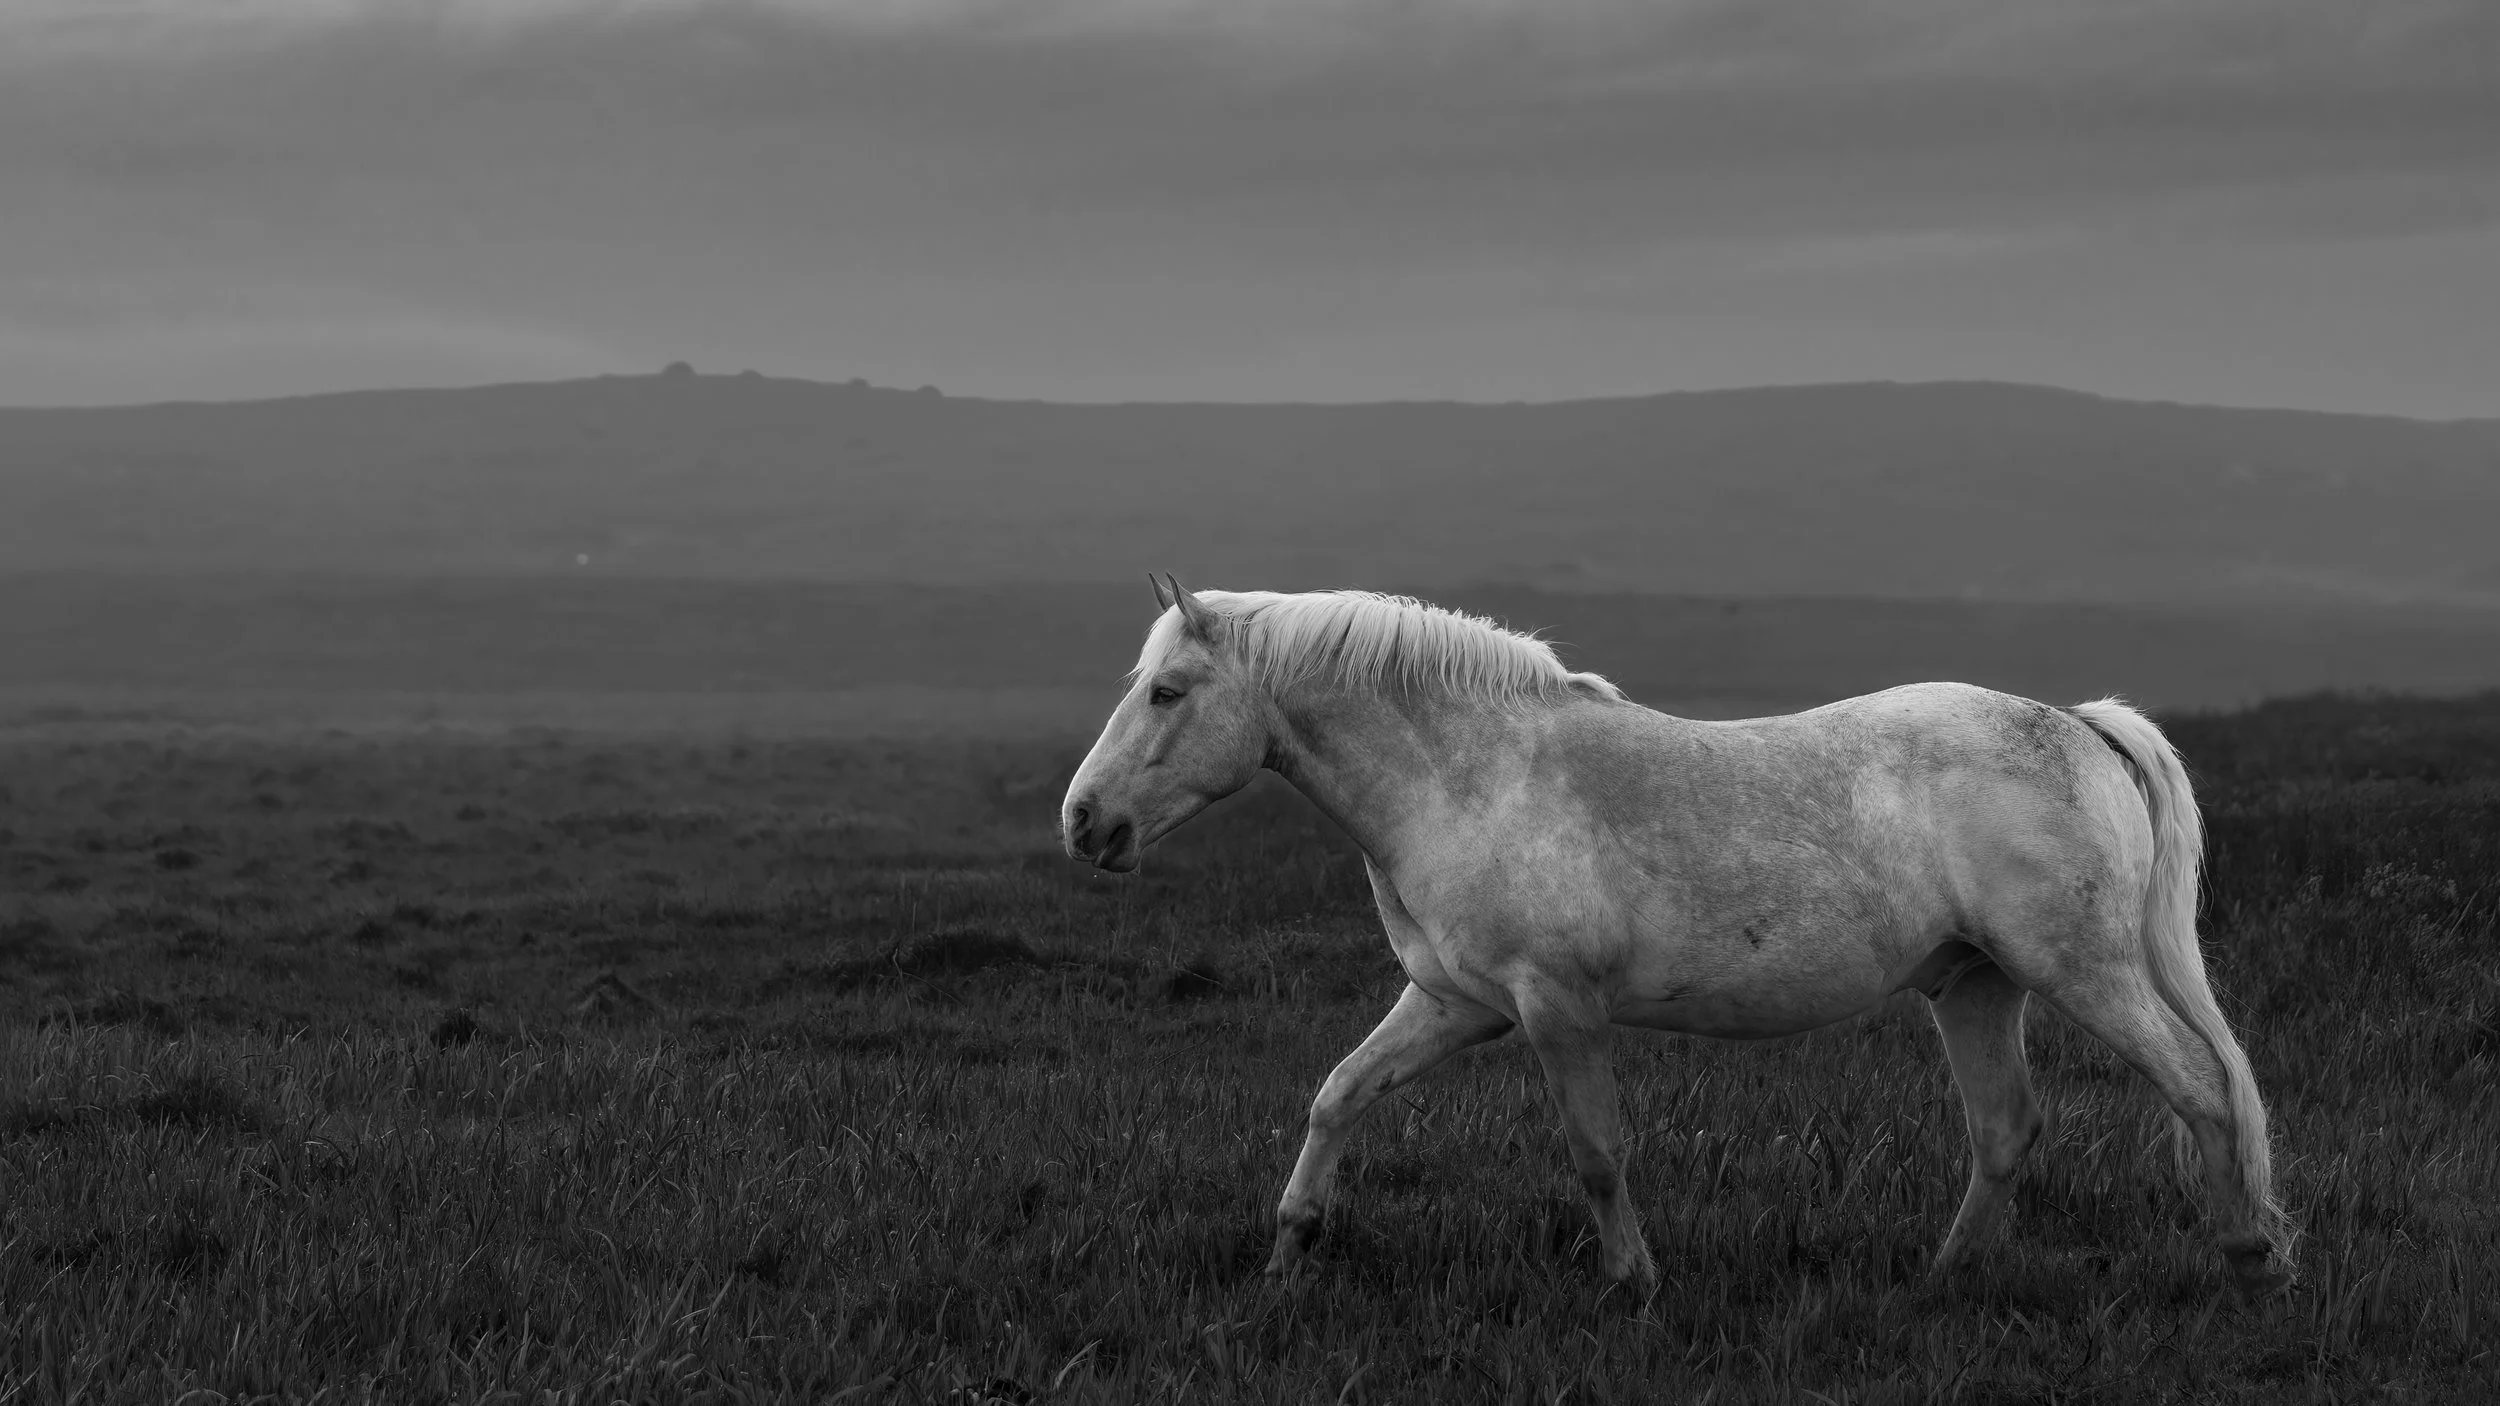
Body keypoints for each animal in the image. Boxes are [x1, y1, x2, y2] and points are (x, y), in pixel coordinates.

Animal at [1059, 577, 2295, 1301]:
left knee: (2198, 1088)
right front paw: (1290, 1247)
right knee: (2006, 1129)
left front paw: (1633, 1284)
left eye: (1169, 691)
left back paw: (2248, 1262)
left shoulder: (1555, 1010)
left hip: (2081, 972)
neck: (1473, 779)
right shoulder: (1456, 1003)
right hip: (1977, 985)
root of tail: (2080, 726)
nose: (1083, 821)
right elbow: (1338, 1094)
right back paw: (1938, 1280)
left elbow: (1596, 1152)